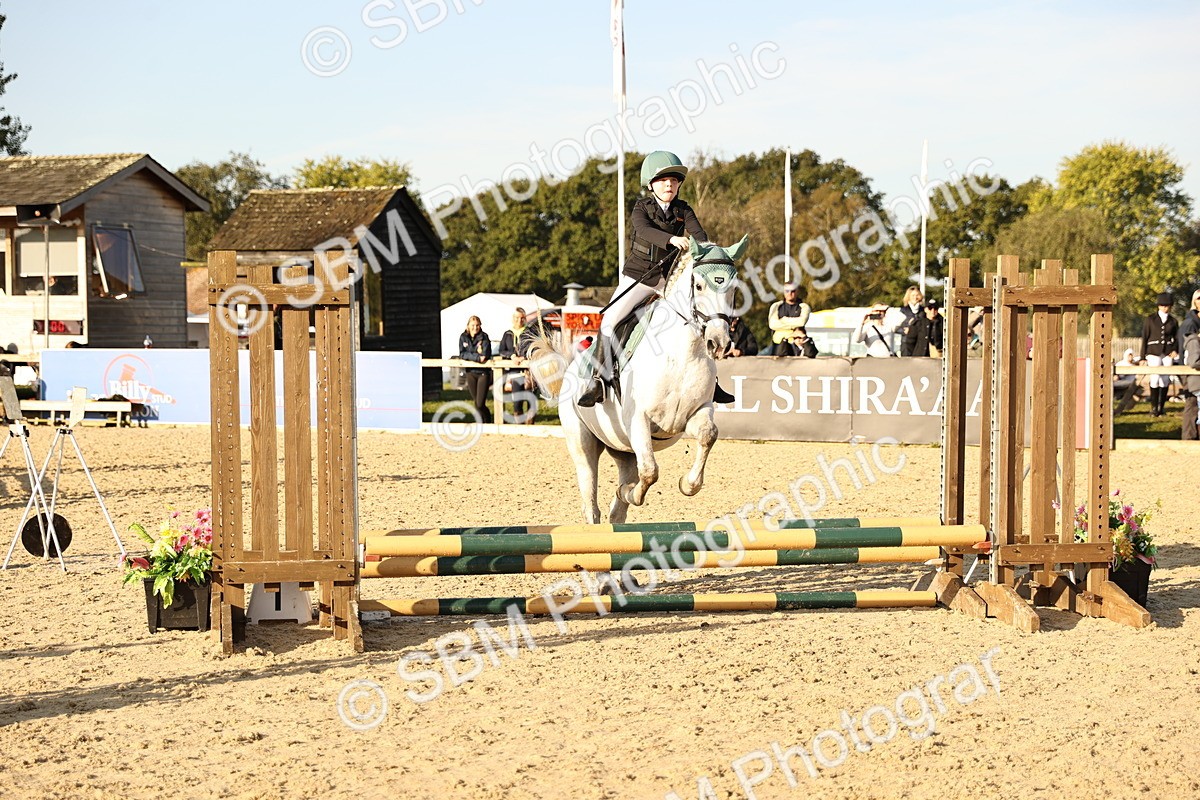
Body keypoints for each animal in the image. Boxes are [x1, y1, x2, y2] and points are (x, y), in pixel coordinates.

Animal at [528, 235, 748, 524]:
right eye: (699, 286)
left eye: (733, 289)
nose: (718, 342)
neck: (681, 353)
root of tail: (570, 369)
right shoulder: (639, 419)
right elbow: (651, 471)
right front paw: (629, 493)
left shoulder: (692, 415)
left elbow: (708, 435)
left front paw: (686, 485)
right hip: (582, 443)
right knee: (591, 502)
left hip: (623, 448)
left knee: (617, 510)